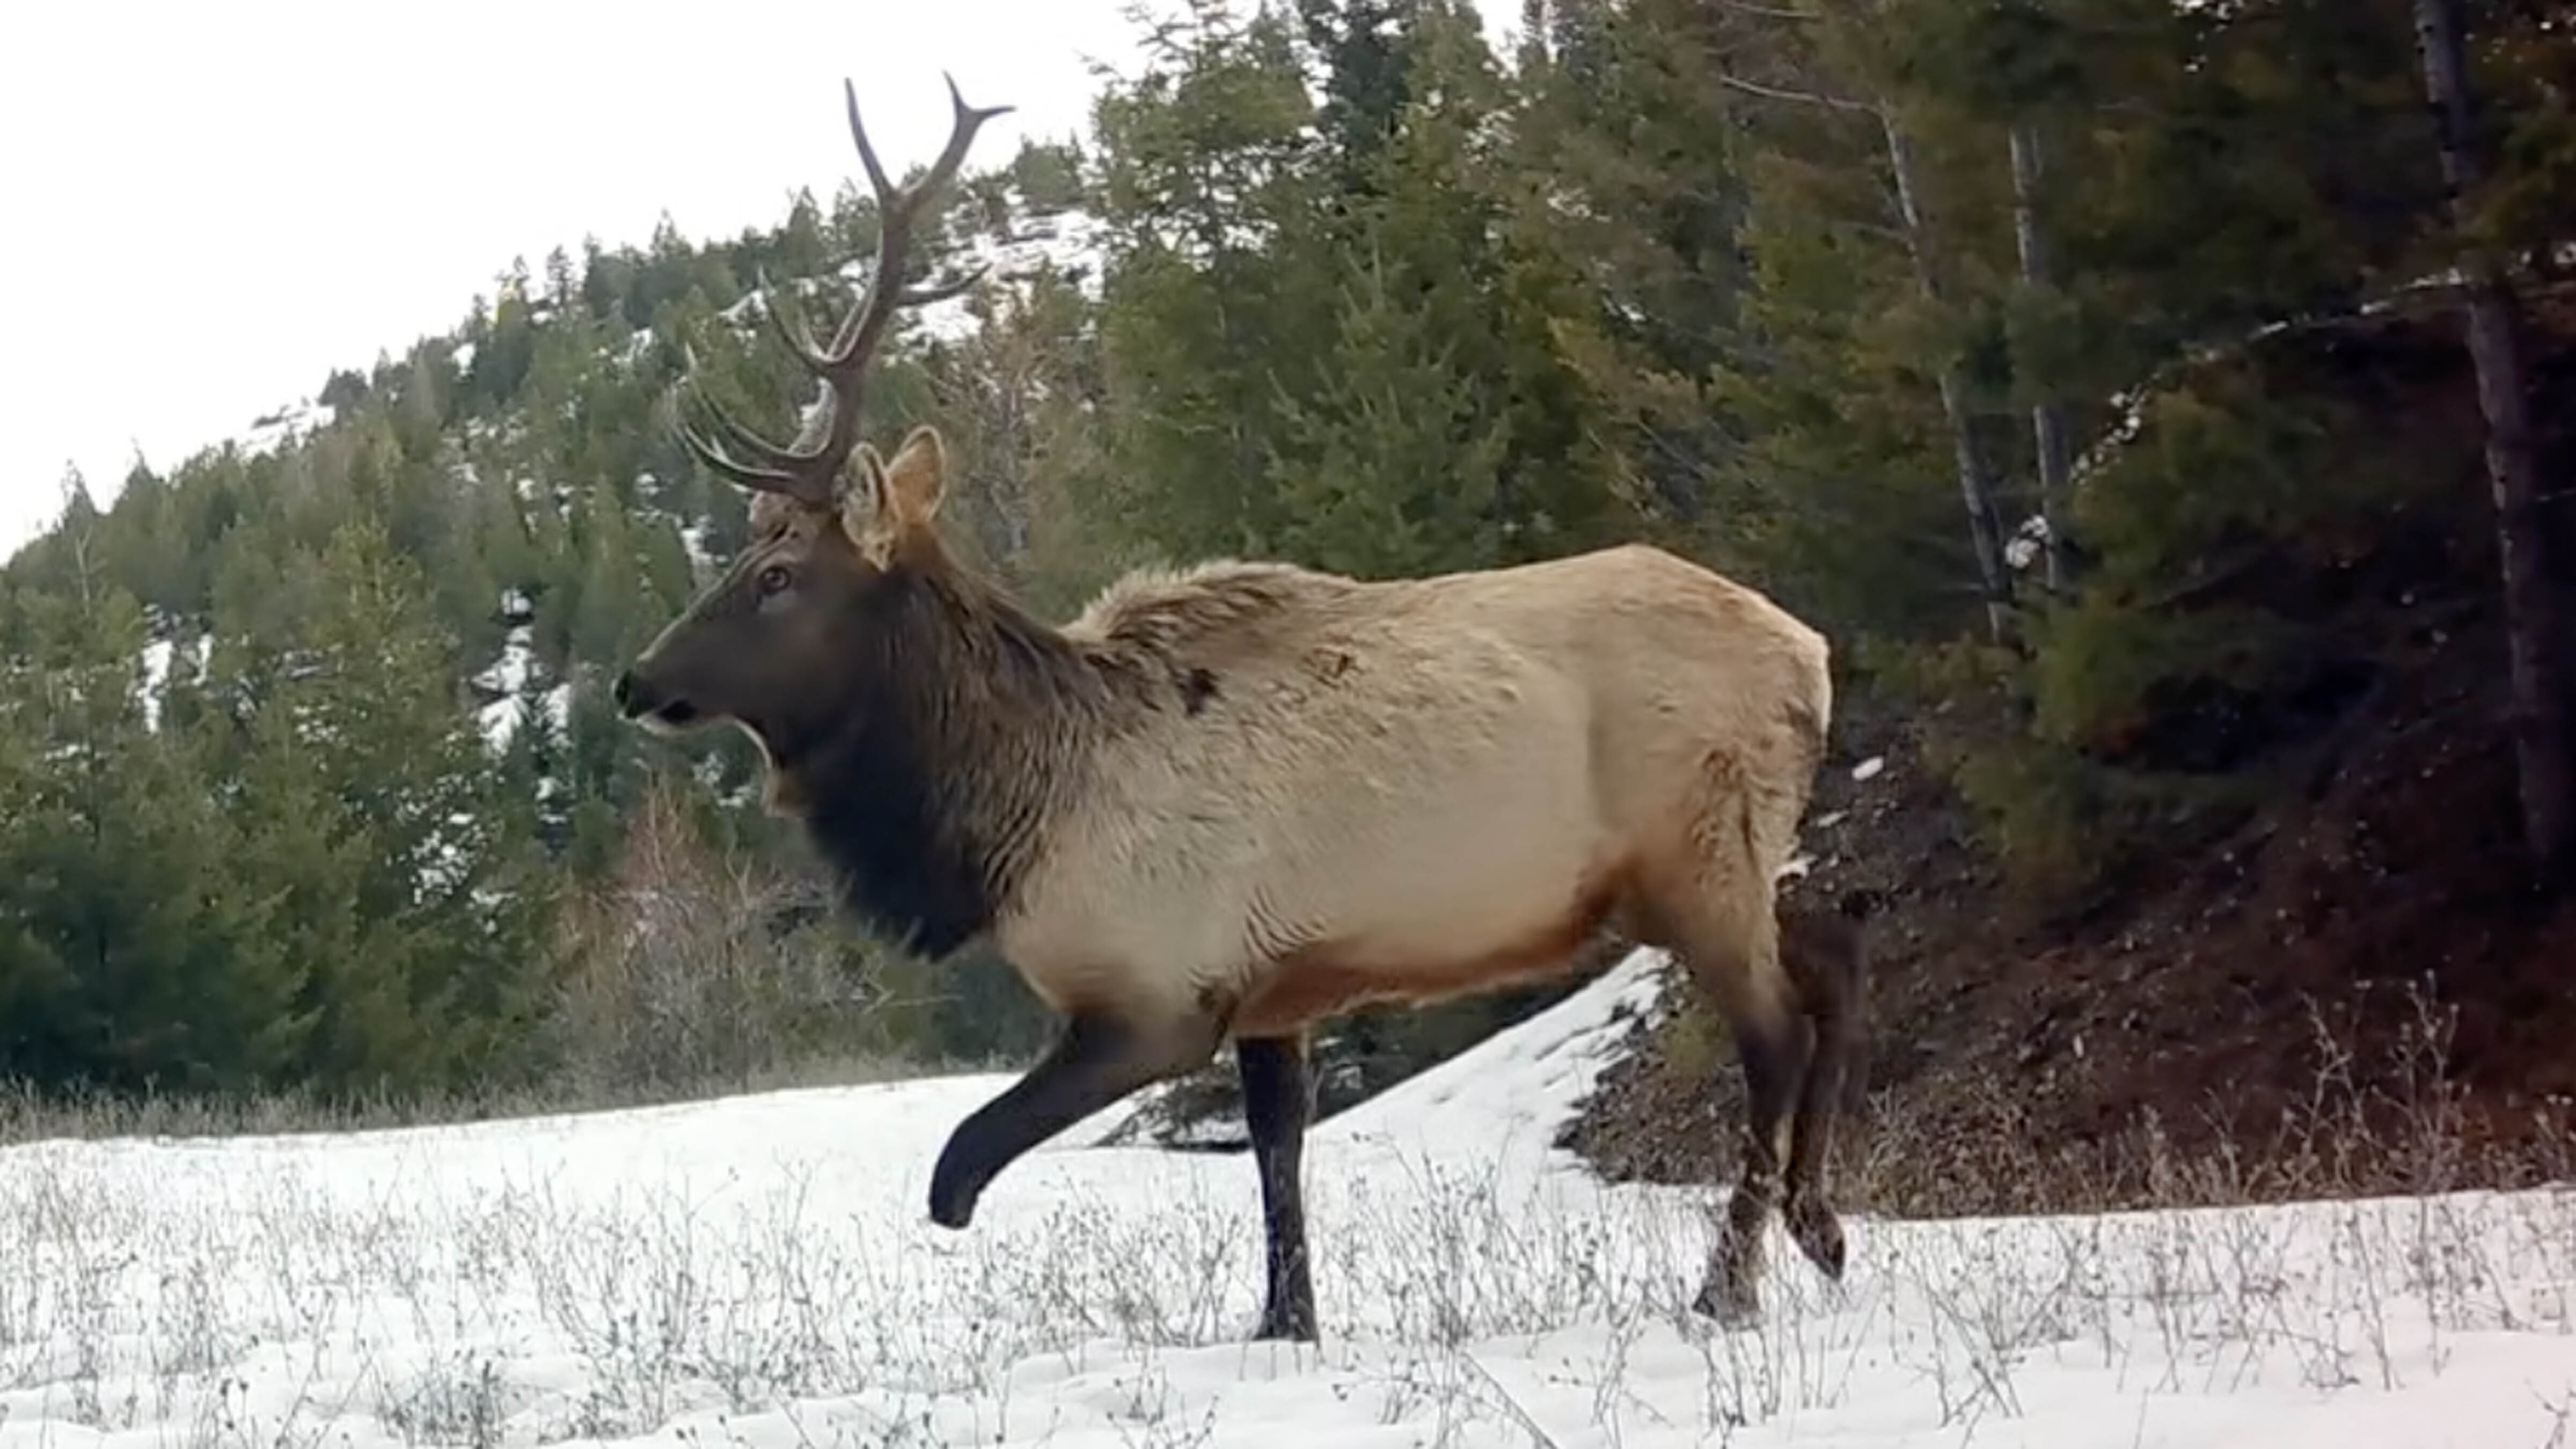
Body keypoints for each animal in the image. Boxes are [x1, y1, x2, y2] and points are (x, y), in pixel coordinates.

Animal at [611, 74, 1865, 1344]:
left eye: (777, 576)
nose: (635, 682)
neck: (1010, 812)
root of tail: (1810, 651)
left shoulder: (1162, 994)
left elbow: (958, 1165)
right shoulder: (1276, 988)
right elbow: (1277, 1151)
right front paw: (1286, 1323)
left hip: (1693, 856)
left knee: (1774, 1029)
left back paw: (1731, 1284)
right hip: (1721, 862)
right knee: (1834, 960)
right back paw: (1820, 1228)